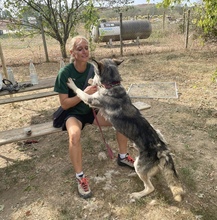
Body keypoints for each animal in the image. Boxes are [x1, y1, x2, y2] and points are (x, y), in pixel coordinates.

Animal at [67, 58, 184, 201]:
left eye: (94, 72)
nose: (91, 78)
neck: (113, 85)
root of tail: (163, 150)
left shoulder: (90, 100)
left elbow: (80, 91)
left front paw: (72, 83)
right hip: (142, 166)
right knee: (149, 177)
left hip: (140, 166)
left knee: (150, 187)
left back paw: (137, 194)